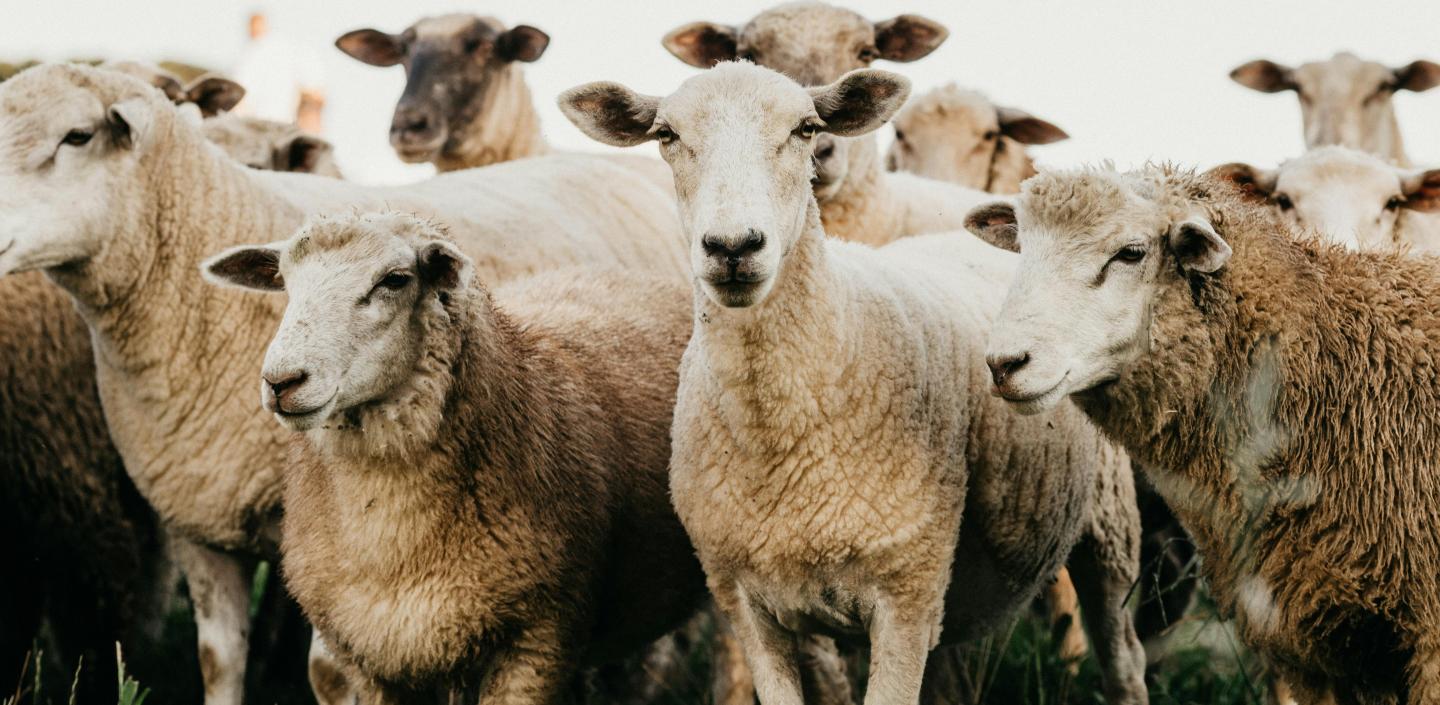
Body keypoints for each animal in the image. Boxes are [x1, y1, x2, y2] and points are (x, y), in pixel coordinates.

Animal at [198, 211, 705, 703]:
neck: (394, 541)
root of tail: (625, 275)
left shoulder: (536, 643)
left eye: (395, 279)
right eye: (285, 279)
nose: (280, 381)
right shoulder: (372, 655)